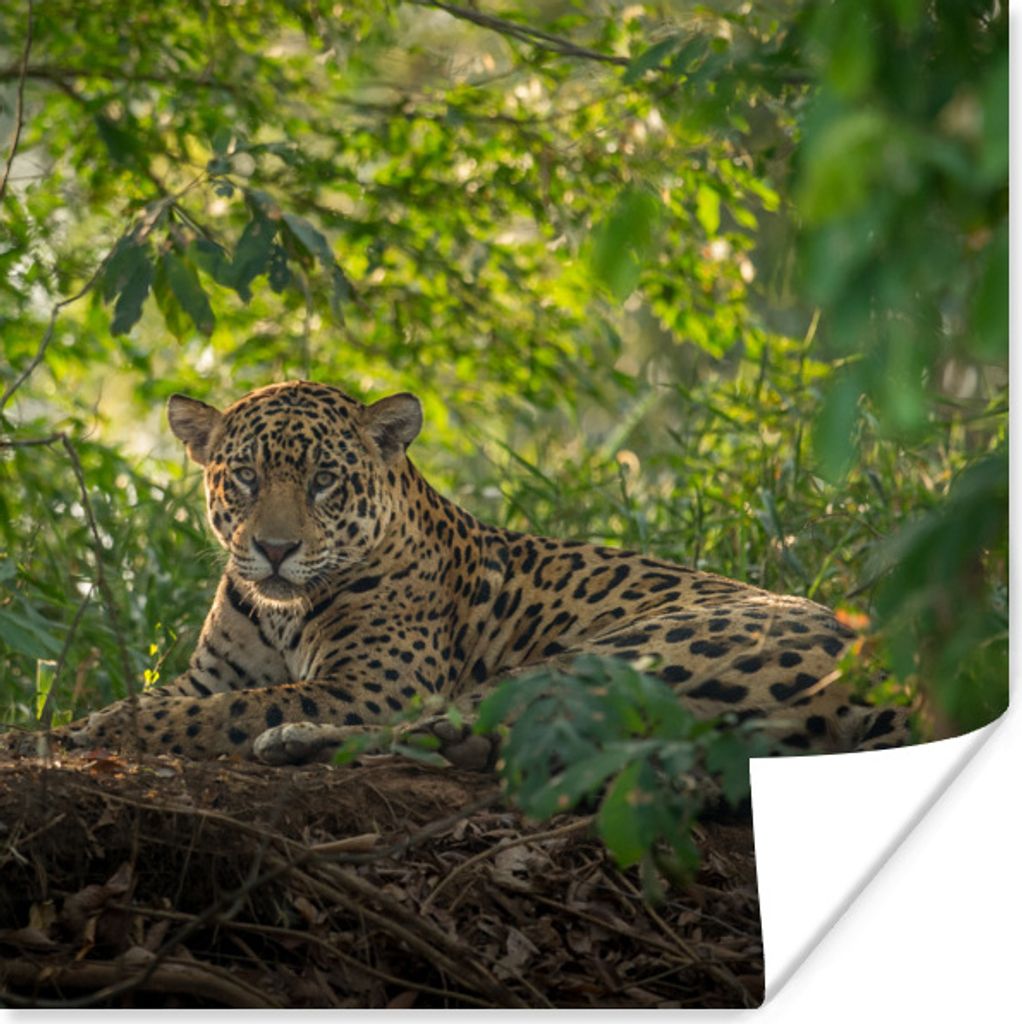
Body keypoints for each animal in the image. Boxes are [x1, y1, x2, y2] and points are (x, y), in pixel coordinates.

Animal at [21, 380, 911, 767]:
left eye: (323, 480)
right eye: (242, 477)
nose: (272, 550)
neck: (279, 609)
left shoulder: (369, 683)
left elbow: (228, 710)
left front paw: (102, 732)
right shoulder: (210, 671)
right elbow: (175, 695)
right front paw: (62, 726)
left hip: (614, 655)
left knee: (455, 727)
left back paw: (293, 740)